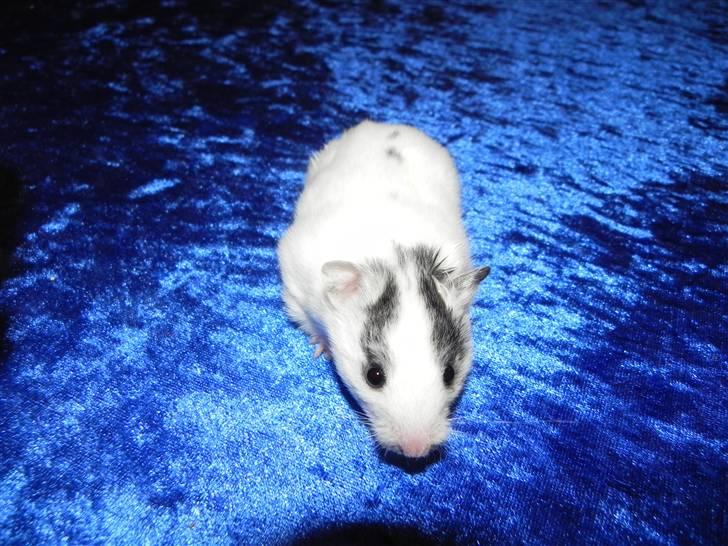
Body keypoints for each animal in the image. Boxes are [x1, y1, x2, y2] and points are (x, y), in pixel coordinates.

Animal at [277, 120, 489, 459]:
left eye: (450, 373)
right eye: (373, 375)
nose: (415, 451)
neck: (396, 255)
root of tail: (385, 125)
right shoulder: (295, 280)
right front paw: (321, 348)